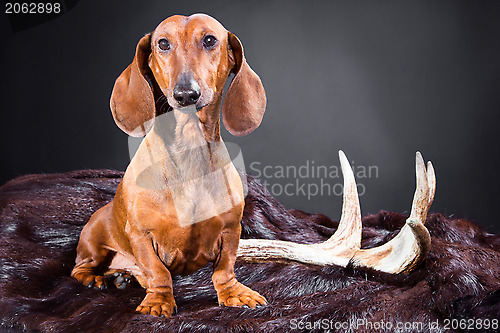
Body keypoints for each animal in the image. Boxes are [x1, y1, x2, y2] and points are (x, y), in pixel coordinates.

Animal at [71, 13, 268, 316]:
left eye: (209, 40)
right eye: (163, 43)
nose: (186, 94)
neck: (189, 150)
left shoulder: (231, 230)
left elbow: (224, 270)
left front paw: (234, 293)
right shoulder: (141, 236)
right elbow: (158, 272)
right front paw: (158, 301)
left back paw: (121, 276)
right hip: (93, 244)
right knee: (79, 268)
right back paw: (97, 279)